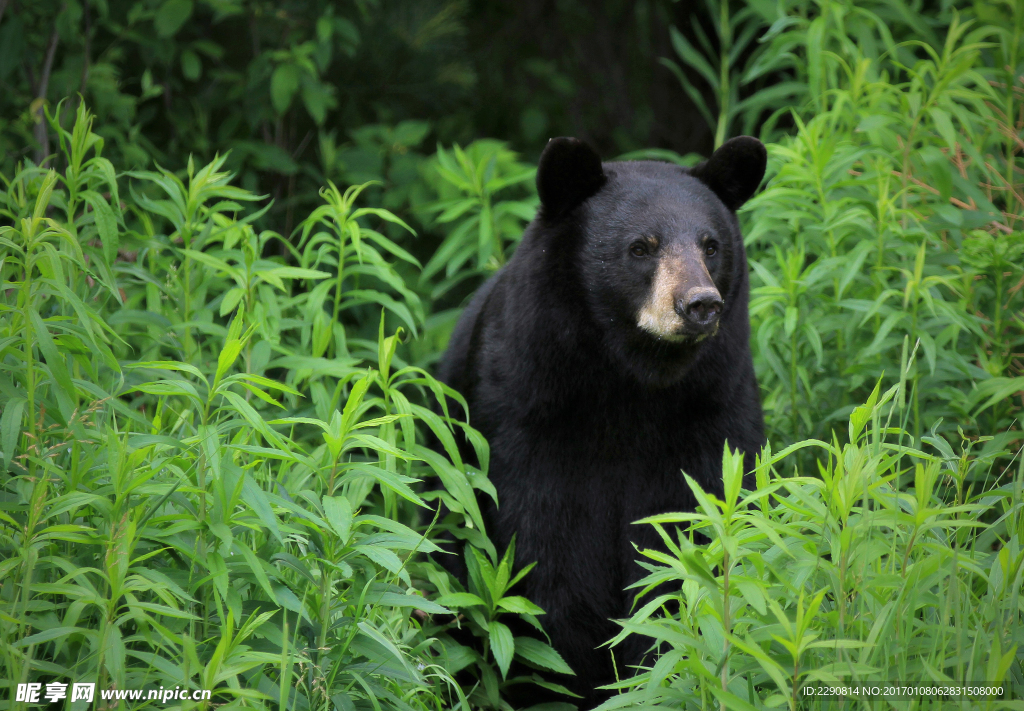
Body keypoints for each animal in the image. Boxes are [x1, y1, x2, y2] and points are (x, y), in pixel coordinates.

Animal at [435, 135, 767, 708]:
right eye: (641, 247)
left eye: (710, 246)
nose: (700, 304)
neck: (630, 383)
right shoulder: (526, 413)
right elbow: (542, 551)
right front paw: (566, 679)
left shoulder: (712, 411)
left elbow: (688, 537)